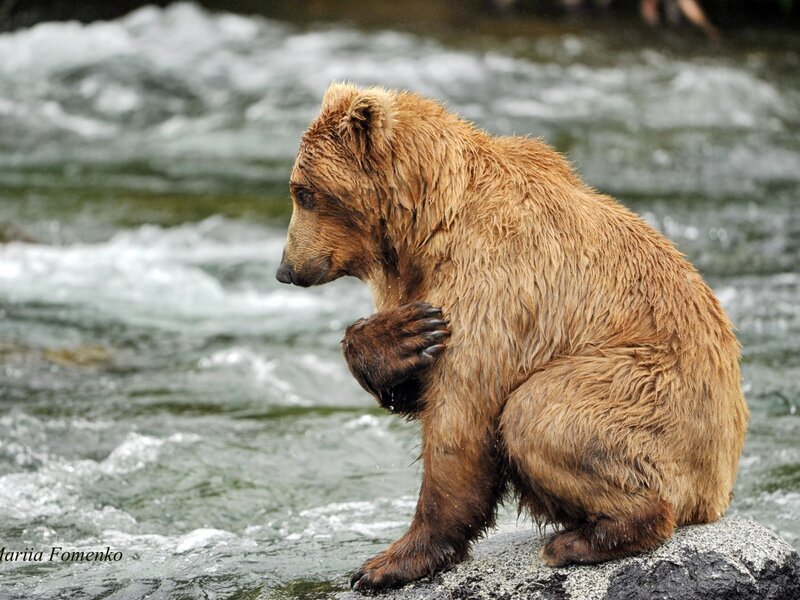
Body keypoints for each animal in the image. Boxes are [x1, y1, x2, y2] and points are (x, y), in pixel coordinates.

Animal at [275, 83, 749, 592]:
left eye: (305, 193)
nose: (286, 269)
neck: (427, 224)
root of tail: (718, 488)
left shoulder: (495, 285)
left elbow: (461, 416)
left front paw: (388, 563)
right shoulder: (424, 283)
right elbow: (416, 382)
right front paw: (403, 336)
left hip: (651, 393)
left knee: (540, 413)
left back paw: (581, 540)